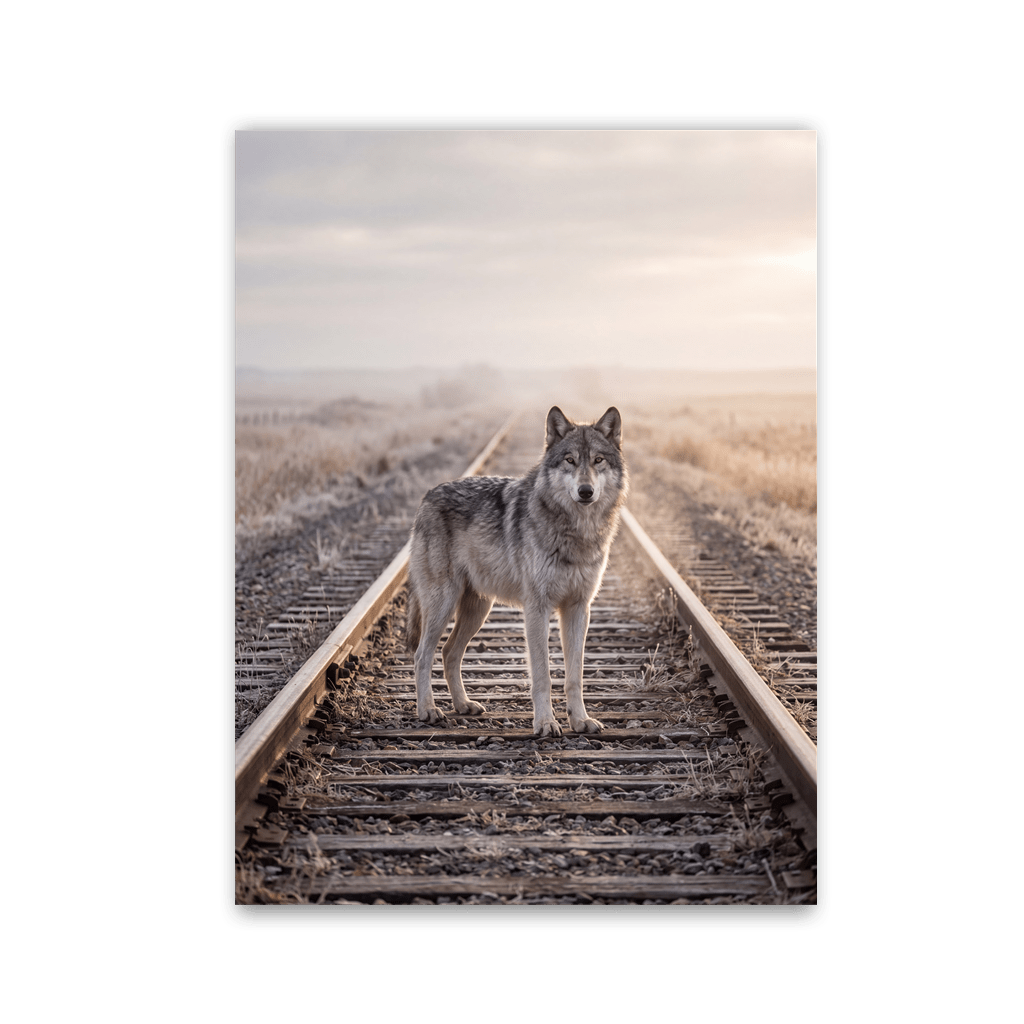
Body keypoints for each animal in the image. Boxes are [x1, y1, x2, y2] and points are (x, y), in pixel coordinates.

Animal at [405, 406, 628, 737]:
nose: (585, 491)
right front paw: (546, 723)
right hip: (443, 604)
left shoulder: (578, 608)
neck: (576, 531)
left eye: (598, 460)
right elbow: (543, 675)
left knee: (449, 653)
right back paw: (428, 710)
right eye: (570, 460)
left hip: (477, 610)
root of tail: (427, 496)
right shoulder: (537, 608)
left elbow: (575, 676)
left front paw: (580, 720)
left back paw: (463, 705)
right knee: (422, 654)